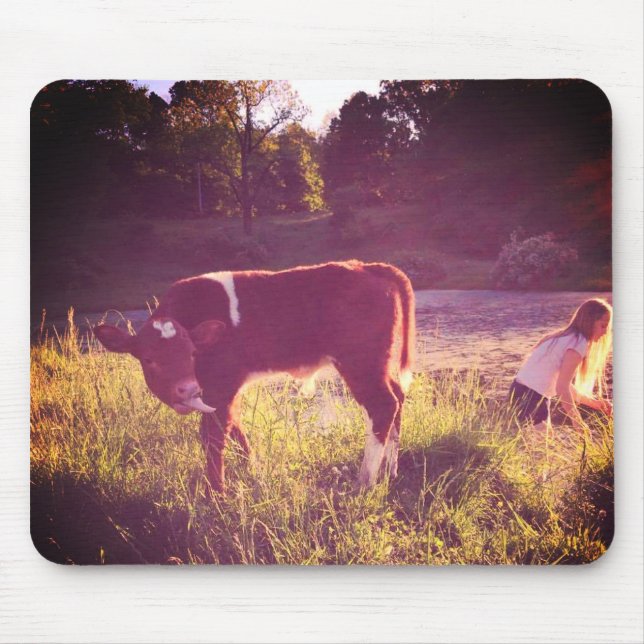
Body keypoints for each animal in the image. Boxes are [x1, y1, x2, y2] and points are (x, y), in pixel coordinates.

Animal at [93, 260, 415, 493]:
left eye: (192, 352)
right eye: (149, 359)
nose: (186, 390)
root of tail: (366, 265)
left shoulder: (220, 386)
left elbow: (213, 437)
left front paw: (216, 494)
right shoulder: (222, 392)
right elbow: (236, 430)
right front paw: (253, 471)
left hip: (360, 362)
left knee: (383, 405)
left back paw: (365, 481)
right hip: (378, 363)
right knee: (397, 398)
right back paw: (390, 471)